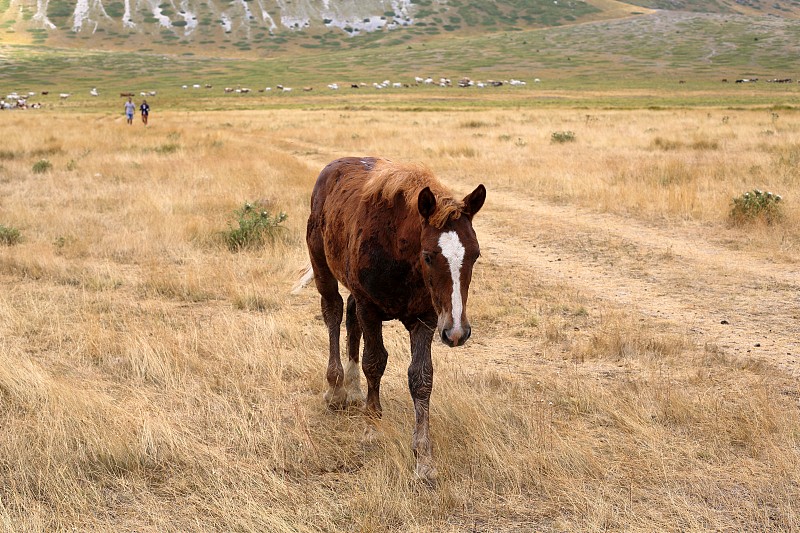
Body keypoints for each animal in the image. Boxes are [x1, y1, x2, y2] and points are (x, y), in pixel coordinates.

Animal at [304, 156, 482, 480]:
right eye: (428, 255)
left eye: (475, 255)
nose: (456, 333)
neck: (399, 251)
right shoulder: (371, 308)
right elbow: (375, 363)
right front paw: (371, 429)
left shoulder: (426, 319)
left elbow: (421, 377)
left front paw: (424, 458)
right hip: (321, 264)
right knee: (333, 312)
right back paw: (336, 388)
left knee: (350, 318)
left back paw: (353, 388)